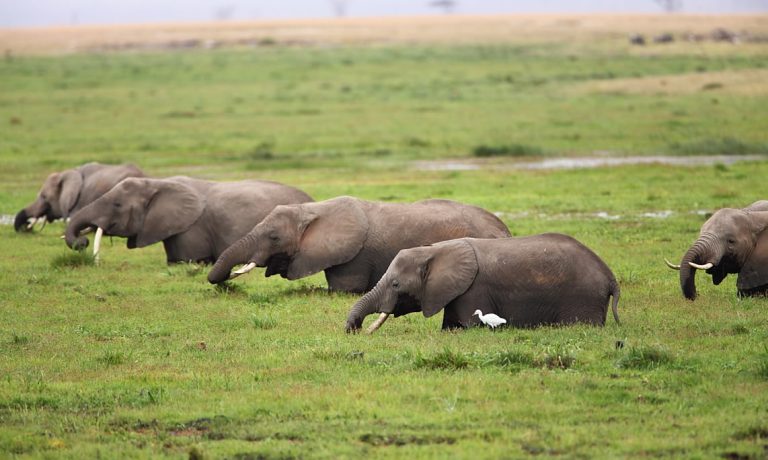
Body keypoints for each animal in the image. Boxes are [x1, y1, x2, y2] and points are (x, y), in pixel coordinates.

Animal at [207, 195, 512, 292]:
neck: (313, 209)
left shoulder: (355, 256)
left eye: (274, 237)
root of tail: (504, 229)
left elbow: (344, 289)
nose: (225, 284)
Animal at [344, 235, 620, 332]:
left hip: (583, 298)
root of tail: (610, 277)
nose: (354, 329)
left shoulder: (473, 291)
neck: (435, 249)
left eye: (395, 285)